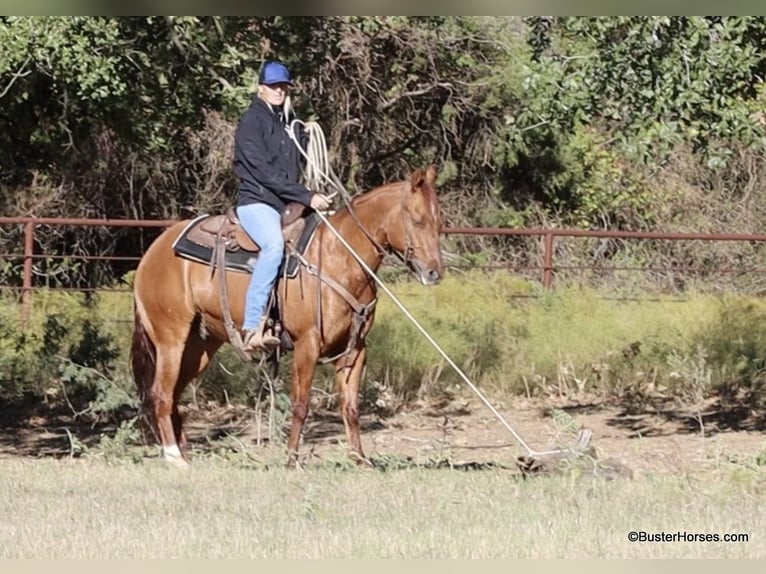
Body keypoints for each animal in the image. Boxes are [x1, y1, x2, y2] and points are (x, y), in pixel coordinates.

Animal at [130, 165, 448, 468]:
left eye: (439, 221)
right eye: (417, 220)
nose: (435, 272)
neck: (339, 257)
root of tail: (153, 252)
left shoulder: (356, 348)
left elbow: (350, 406)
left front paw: (360, 459)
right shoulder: (307, 344)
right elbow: (300, 403)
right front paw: (292, 459)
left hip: (200, 345)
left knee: (174, 394)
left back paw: (184, 453)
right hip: (171, 339)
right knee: (161, 393)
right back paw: (174, 458)